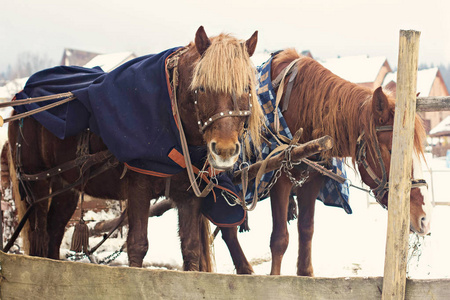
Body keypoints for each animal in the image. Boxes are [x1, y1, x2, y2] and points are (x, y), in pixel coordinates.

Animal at [5, 27, 262, 272]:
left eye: (246, 88)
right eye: (200, 88)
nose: (225, 150)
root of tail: (20, 99)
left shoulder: (188, 195)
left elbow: (190, 248)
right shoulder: (139, 187)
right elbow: (138, 244)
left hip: (65, 187)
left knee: (54, 233)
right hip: (38, 184)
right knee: (40, 236)